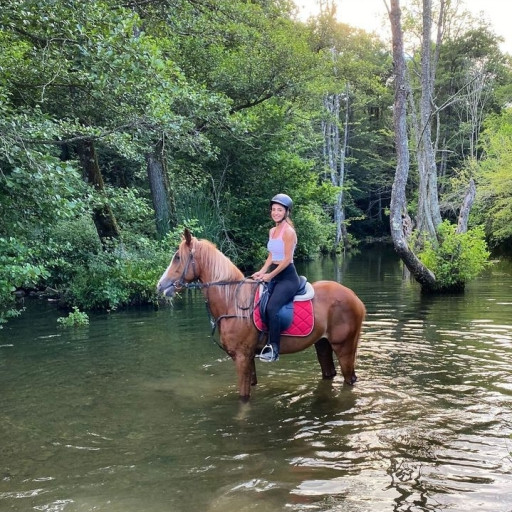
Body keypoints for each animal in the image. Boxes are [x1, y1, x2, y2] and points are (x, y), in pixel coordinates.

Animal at [156, 230, 364, 402]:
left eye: (177, 257)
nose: (160, 285)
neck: (232, 301)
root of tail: (354, 297)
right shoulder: (248, 358)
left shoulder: (241, 358)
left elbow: (243, 398)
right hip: (322, 344)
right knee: (329, 374)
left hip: (344, 347)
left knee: (350, 379)